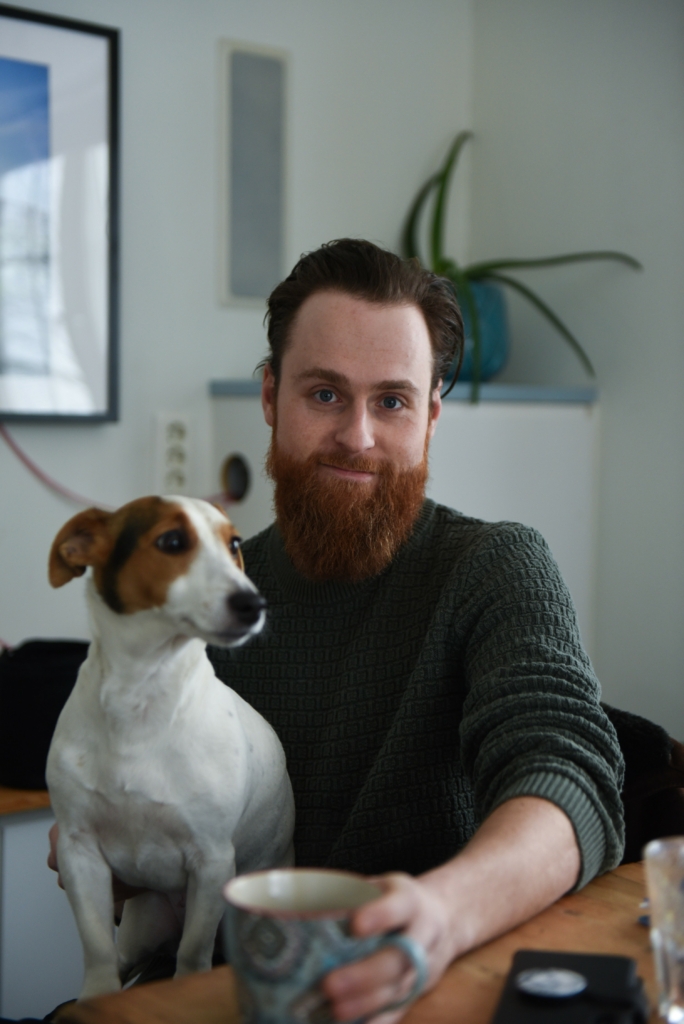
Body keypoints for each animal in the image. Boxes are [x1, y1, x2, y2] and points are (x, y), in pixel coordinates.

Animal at [44, 495, 296, 999]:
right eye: (172, 541)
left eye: (234, 544)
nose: (253, 604)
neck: (142, 696)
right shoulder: (80, 855)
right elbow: (97, 948)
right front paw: (95, 998)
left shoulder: (212, 861)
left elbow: (192, 956)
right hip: (141, 931)